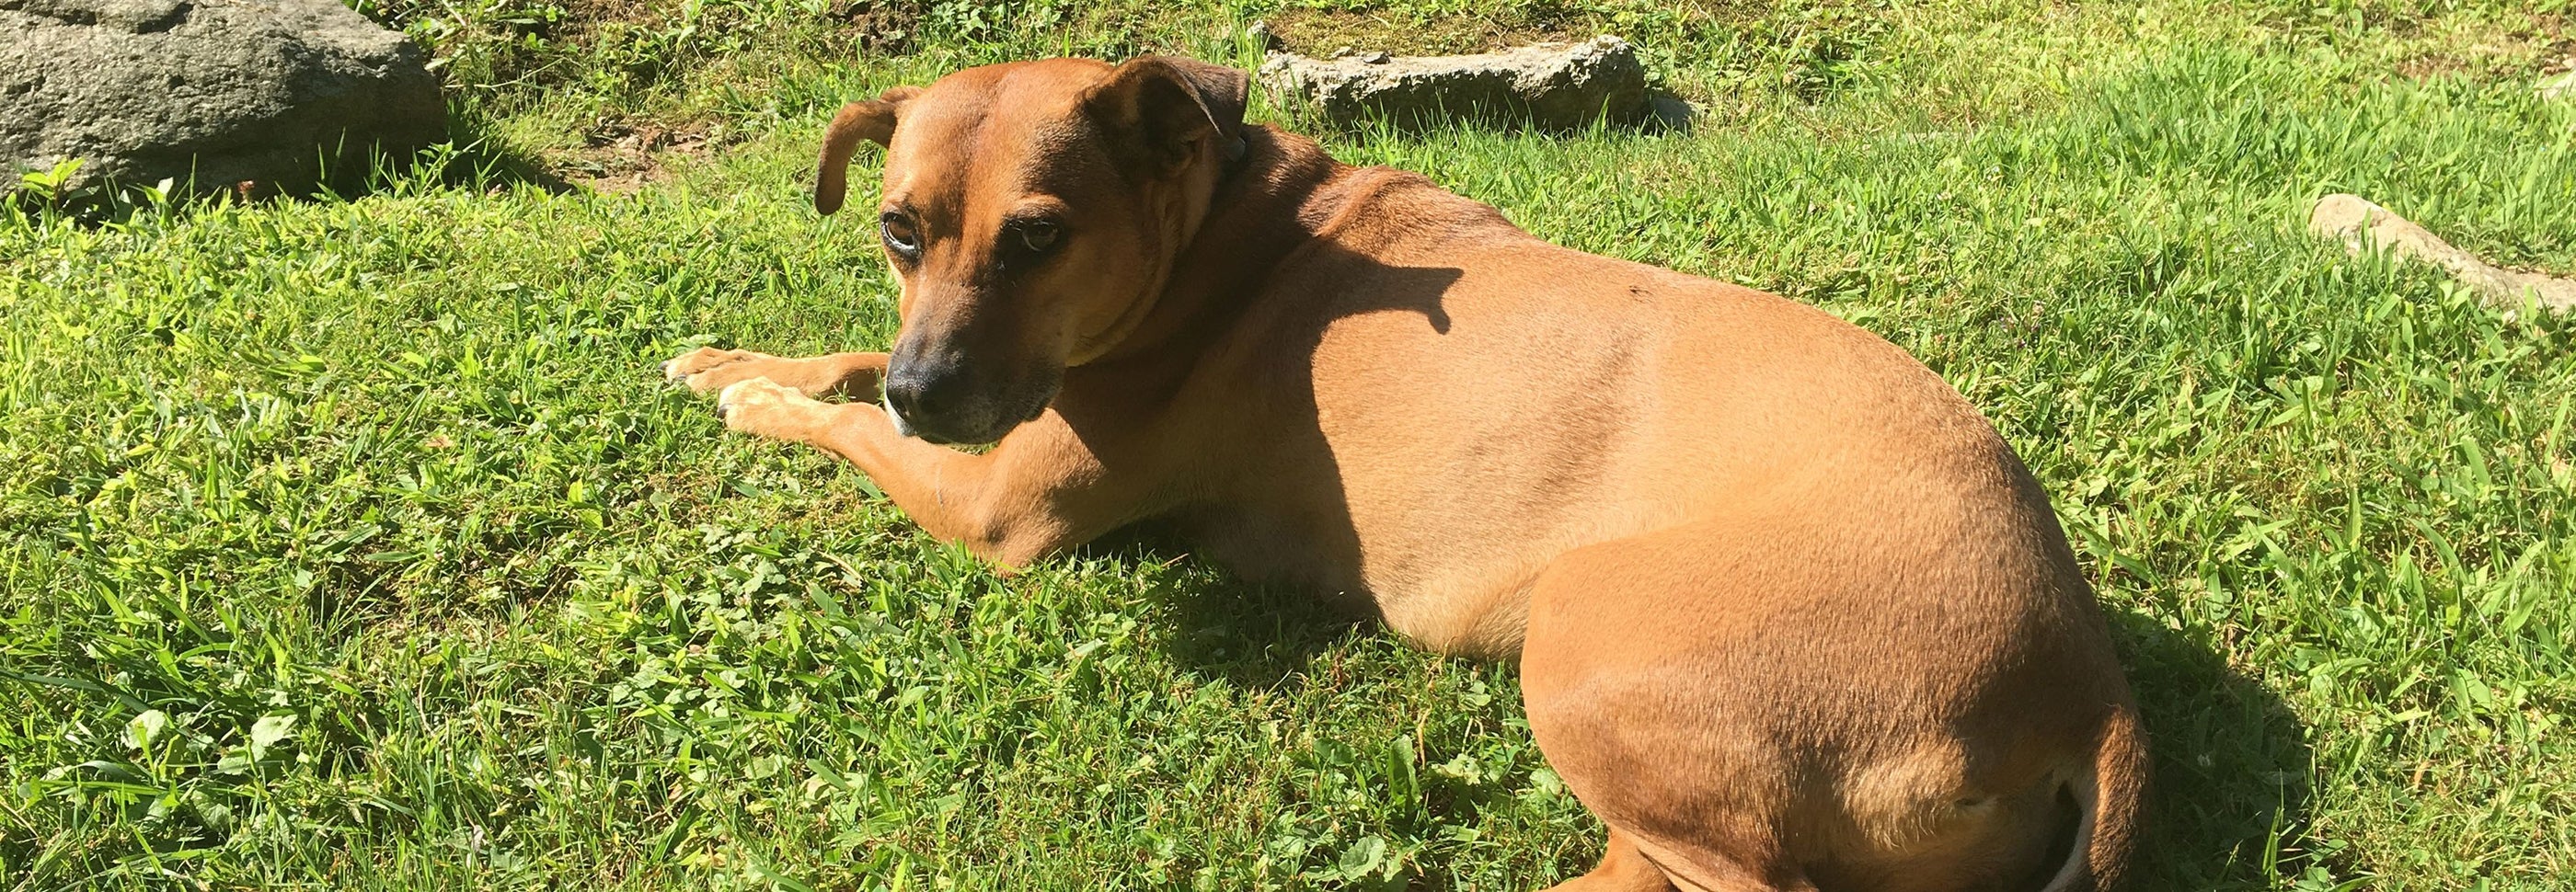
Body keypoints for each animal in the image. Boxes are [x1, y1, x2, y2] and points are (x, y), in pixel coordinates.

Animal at [664, 57, 2153, 892]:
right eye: (898, 230)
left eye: (1039, 236)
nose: (932, 393)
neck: (1222, 224)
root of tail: (2085, 681)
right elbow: (848, 356)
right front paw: (732, 357)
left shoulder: (996, 504)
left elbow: (848, 428)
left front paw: (760, 401)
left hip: (1588, 640)